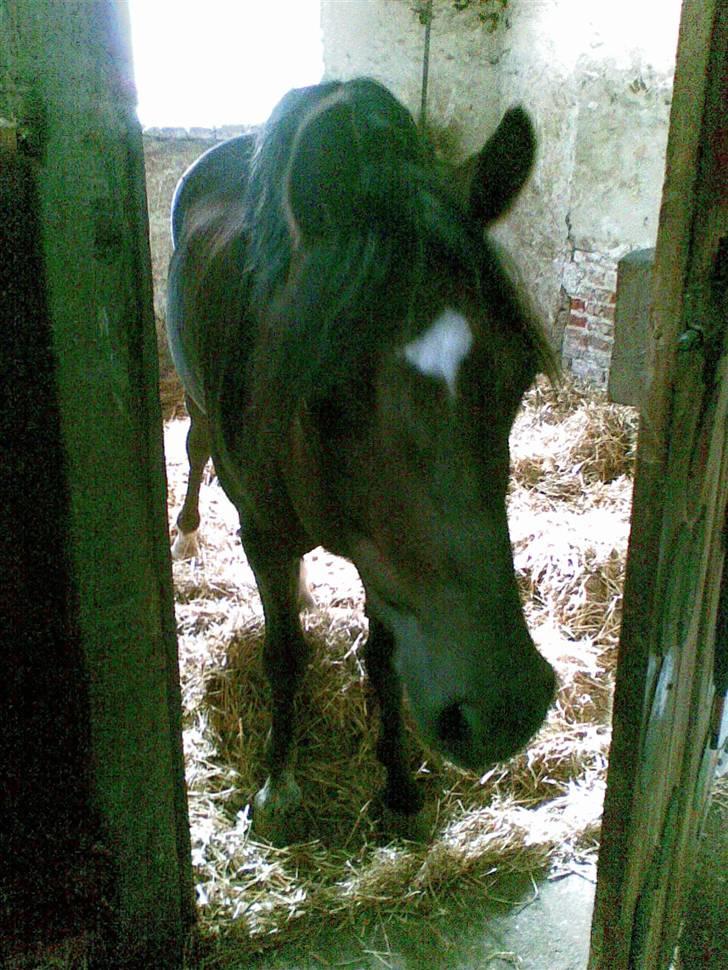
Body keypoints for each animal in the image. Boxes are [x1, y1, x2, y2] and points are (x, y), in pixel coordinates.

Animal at [166, 78, 556, 842]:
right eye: (328, 392)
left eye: (519, 374)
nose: (502, 709)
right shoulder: (265, 535)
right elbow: (285, 654)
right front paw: (278, 785)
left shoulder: (388, 562)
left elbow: (385, 660)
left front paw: (399, 786)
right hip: (197, 405)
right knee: (195, 449)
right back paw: (190, 530)